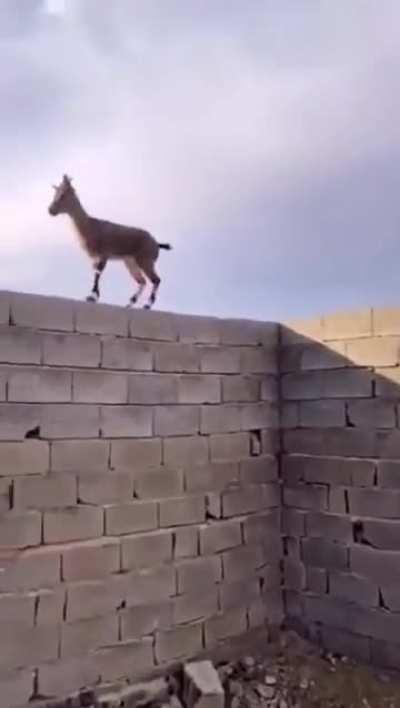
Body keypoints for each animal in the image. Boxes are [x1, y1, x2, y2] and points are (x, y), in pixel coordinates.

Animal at [48, 174, 172, 309]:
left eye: (63, 194)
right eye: (55, 193)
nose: (51, 210)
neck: (90, 226)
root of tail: (156, 243)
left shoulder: (103, 254)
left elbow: (98, 273)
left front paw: (92, 297)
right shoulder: (95, 258)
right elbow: (96, 272)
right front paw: (93, 295)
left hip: (145, 261)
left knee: (156, 280)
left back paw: (147, 305)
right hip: (131, 262)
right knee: (142, 281)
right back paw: (129, 303)